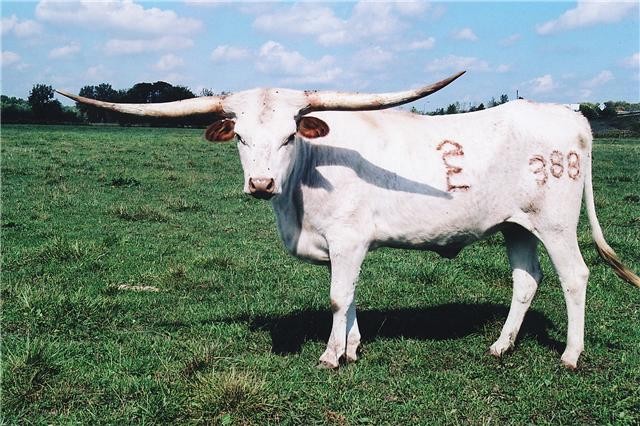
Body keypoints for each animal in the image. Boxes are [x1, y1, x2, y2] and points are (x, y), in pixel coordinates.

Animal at [57, 71, 639, 369]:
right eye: (240, 136)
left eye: (289, 135)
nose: (261, 184)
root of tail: (570, 115)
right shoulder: (347, 246)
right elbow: (351, 295)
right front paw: (354, 347)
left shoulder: (348, 238)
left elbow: (338, 298)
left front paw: (332, 355)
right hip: (517, 225)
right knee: (526, 280)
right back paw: (501, 345)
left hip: (557, 224)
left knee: (574, 277)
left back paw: (571, 355)